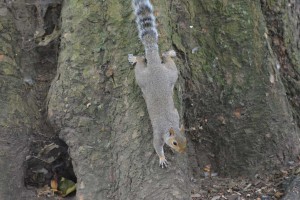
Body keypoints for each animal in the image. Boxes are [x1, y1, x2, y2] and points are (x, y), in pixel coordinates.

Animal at [127, 0, 186, 168]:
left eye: (185, 140)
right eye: (174, 143)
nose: (182, 152)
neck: (170, 125)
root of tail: (154, 64)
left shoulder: (176, 115)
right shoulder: (158, 134)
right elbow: (157, 146)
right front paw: (162, 158)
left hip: (170, 75)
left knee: (165, 57)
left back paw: (170, 53)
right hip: (143, 77)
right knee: (142, 61)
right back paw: (136, 58)